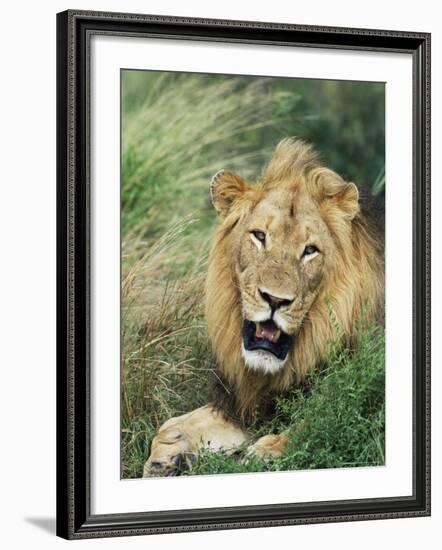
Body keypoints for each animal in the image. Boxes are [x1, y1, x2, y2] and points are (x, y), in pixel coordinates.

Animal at [142, 138, 384, 478]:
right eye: (259, 236)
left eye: (310, 250)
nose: (275, 300)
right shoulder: (248, 403)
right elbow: (171, 424)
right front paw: (167, 456)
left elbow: (317, 424)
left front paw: (266, 453)